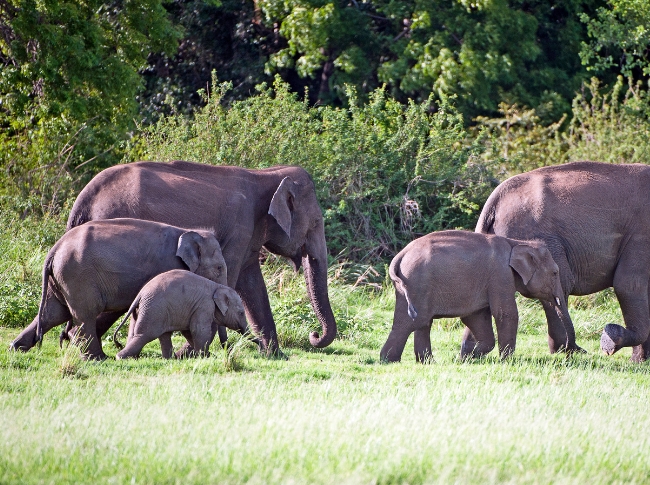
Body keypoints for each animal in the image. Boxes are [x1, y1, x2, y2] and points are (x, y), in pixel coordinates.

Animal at [10, 218, 227, 360]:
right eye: (219, 268)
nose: (226, 349)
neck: (186, 231)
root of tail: (54, 249)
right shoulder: (166, 266)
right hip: (77, 276)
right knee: (85, 314)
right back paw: (98, 358)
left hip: (60, 279)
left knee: (53, 313)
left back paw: (15, 349)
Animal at [113, 270, 248, 359]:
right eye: (241, 313)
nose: (228, 354)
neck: (217, 287)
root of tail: (140, 294)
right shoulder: (204, 306)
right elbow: (199, 330)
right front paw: (205, 357)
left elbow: (189, 331)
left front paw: (208, 356)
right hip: (153, 310)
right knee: (145, 335)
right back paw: (120, 357)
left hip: (152, 310)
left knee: (162, 335)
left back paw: (170, 359)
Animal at [380, 230, 566, 363]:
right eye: (555, 273)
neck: (516, 243)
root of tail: (400, 255)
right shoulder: (500, 274)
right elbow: (505, 313)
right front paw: (506, 361)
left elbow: (476, 317)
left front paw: (466, 357)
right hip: (416, 283)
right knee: (411, 322)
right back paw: (389, 360)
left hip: (410, 286)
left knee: (422, 322)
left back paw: (426, 362)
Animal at [475, 161, 650, 362]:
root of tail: (495, 198)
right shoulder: (641, 233)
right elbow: (627, 285)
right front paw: (615, 345)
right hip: (538, 237)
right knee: (560, 287)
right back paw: (569, 351)